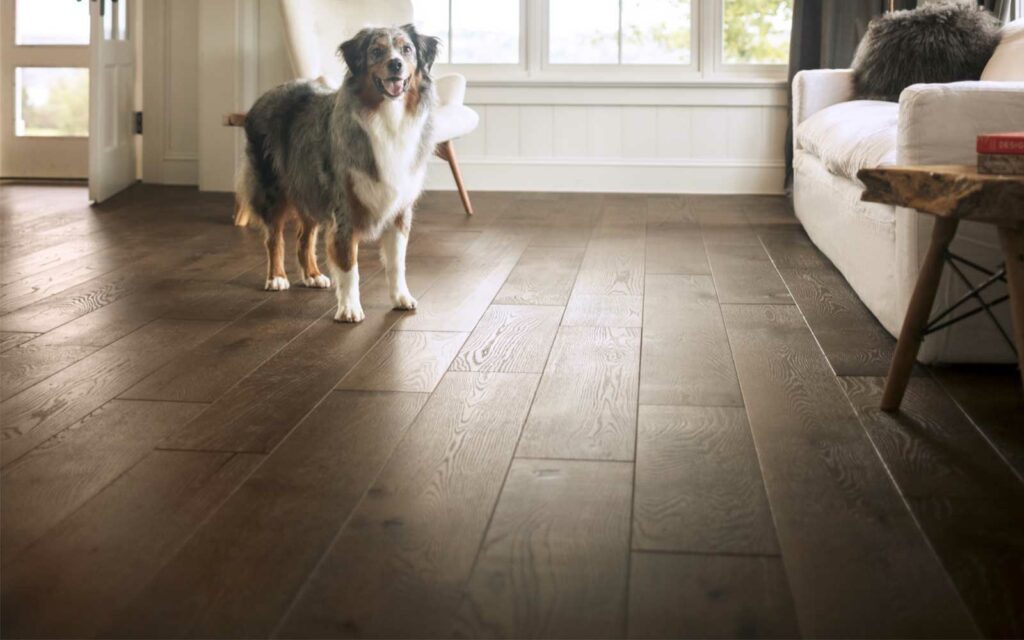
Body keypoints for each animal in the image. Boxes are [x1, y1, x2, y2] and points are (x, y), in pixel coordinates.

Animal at [239, 23, 440, 323]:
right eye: (376, 51)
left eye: (407, 49)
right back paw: (276, 277)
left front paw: (401, 298)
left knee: (304, 238)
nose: (395, 64)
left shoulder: (399, 209)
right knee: (274, 237)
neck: (389, 118)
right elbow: (348, 265)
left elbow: (396, 262)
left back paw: (312, 275)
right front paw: (349, 309)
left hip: (308, 188)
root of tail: (265, 95)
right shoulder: (345, 207)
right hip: (271, 188)